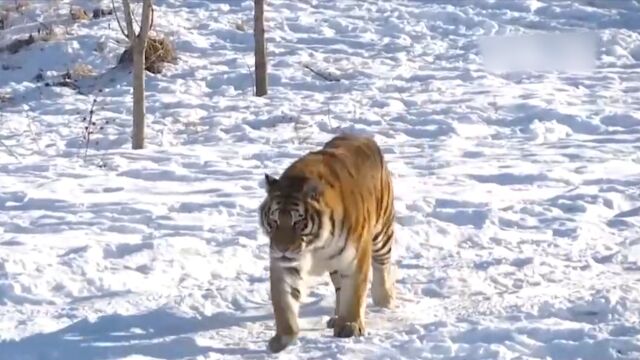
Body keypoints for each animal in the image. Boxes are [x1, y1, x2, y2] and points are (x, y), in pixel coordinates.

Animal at [258, 134, 398, 352]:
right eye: (274, 221)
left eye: (298, 222)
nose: (282, 249)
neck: (315, 245)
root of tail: (362, 136)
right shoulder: (287, 264)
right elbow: (284, 301)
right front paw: (282, 338)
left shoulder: (356, 257)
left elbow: (354, 292)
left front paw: (350, 326)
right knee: (340, 288)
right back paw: (335, 318)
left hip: (382, 231)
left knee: (382, 264)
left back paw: (385, 300)